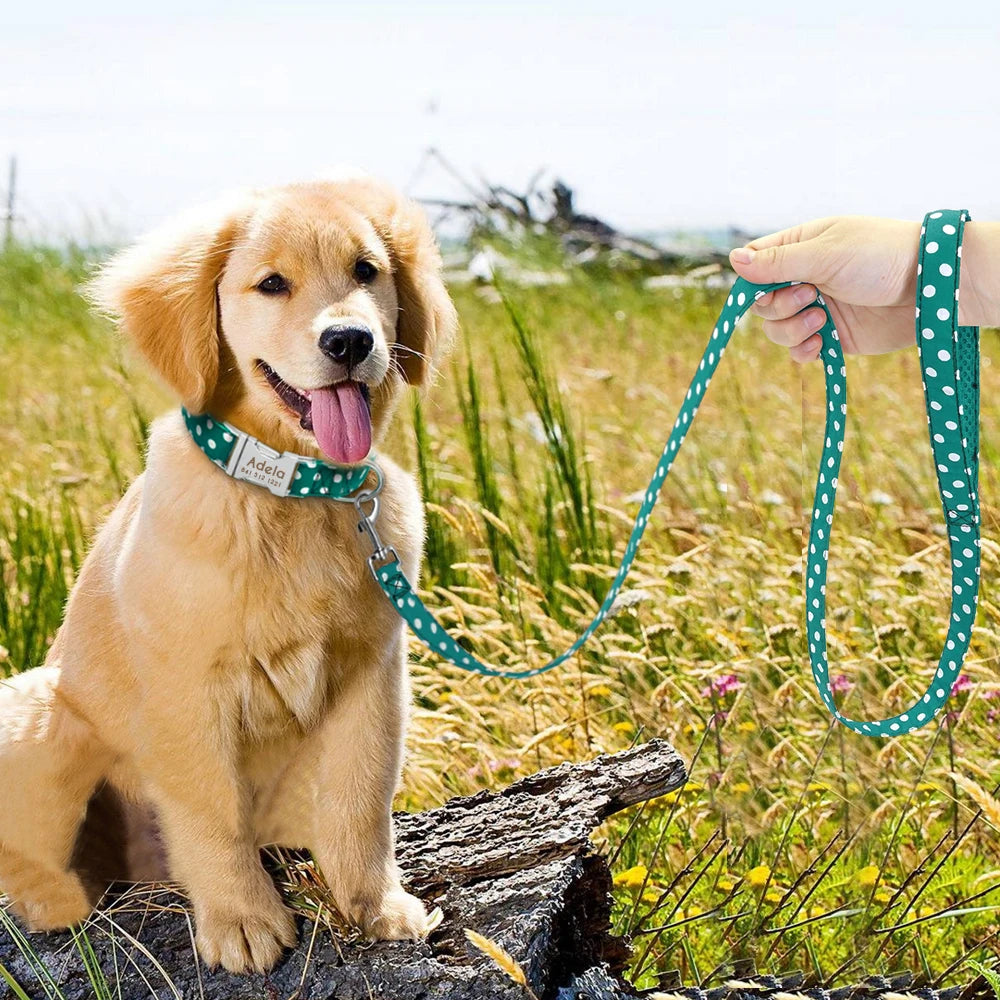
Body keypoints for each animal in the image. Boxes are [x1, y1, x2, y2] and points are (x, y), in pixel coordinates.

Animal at [0, 176, 458, 972]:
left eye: (366, 271)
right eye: (272, 284)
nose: (349, 340)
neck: (296, 491)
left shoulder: (374, 672)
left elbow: (360, 797)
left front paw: (375, 904)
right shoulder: (188, 686)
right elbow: (213, 813)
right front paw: (243, 920)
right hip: (33, 711)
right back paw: (53, 899)